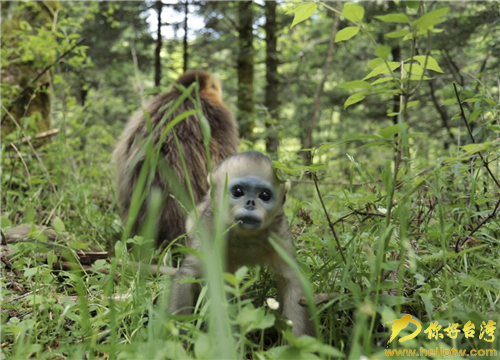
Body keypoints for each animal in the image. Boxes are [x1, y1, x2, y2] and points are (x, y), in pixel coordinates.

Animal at [170, 151, 314, 338]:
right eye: (238, 191)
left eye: (265, 195)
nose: (250, 203)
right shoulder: (209, 225)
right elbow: (189, 273)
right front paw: (178, 337)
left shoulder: (279, 231)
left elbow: (292, 280)